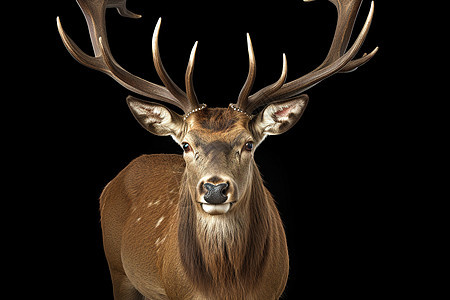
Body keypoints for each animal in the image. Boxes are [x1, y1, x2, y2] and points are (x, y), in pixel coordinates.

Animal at [57, 0, 376, 298]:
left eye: (249, 143)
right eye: (186, 144)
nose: (214, 189)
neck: (227, 287)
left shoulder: (274, 289)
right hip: (118, 269)